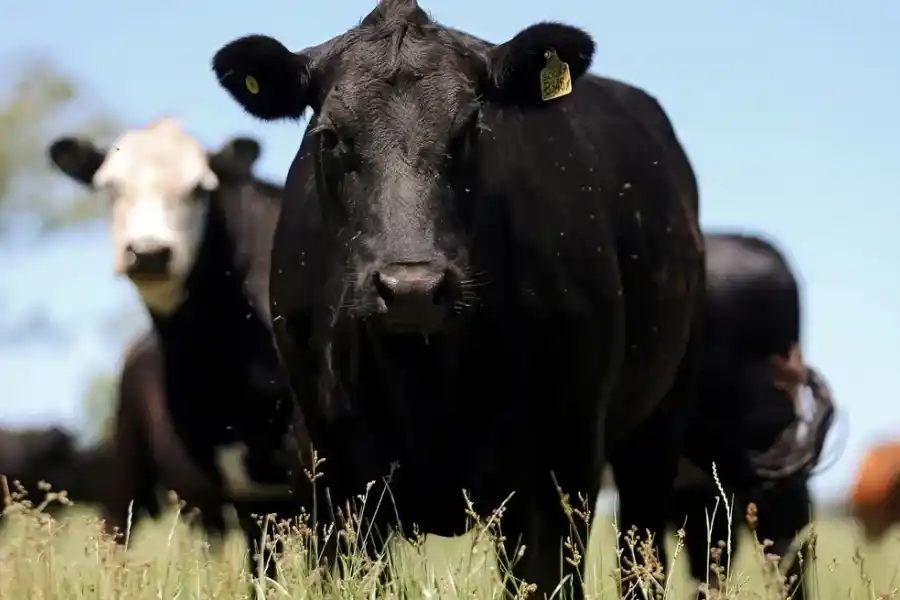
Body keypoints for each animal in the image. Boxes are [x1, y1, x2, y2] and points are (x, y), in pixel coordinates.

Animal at [209, 1, 709, 597]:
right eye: (328, 136)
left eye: (471, 129)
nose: (412, 288)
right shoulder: (333, 473)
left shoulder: (565, 461)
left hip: (657, 429)